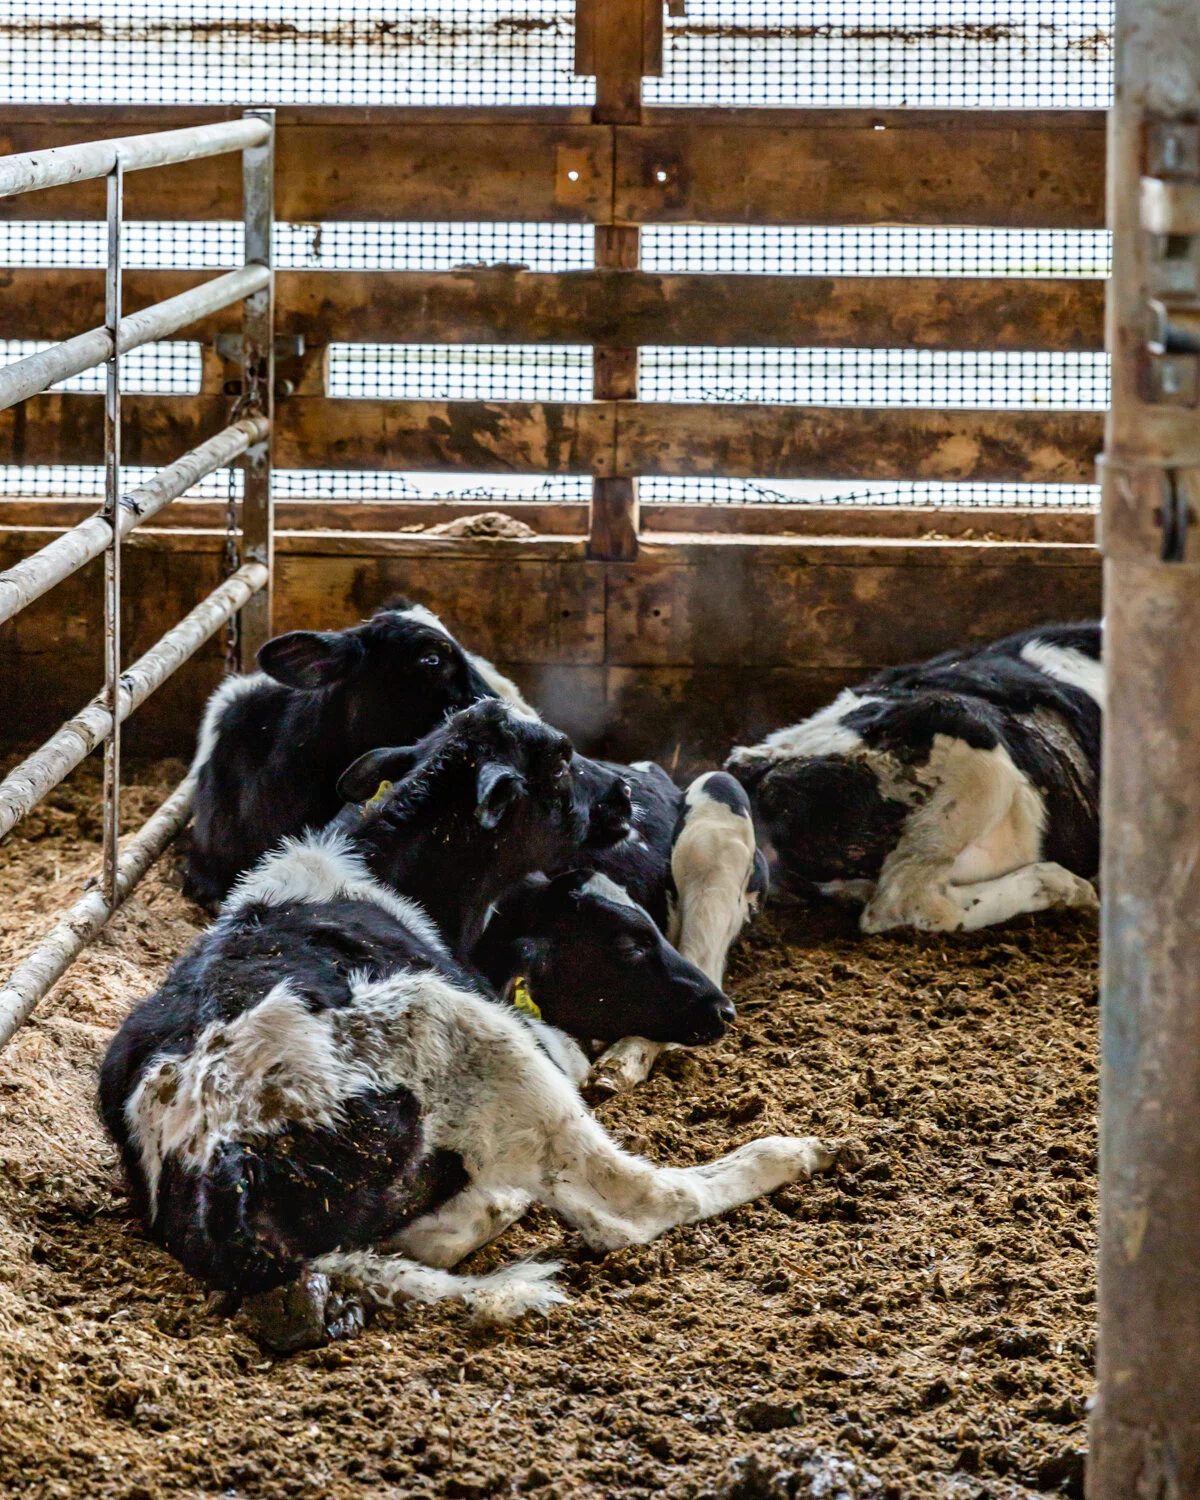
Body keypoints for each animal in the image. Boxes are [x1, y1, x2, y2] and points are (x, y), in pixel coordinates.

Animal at [99, 701, 835, 1350]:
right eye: (561, 759)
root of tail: (216, 1154)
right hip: (474, 1037)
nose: (628, 788)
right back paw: (791, 1151)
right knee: (632, 1204)